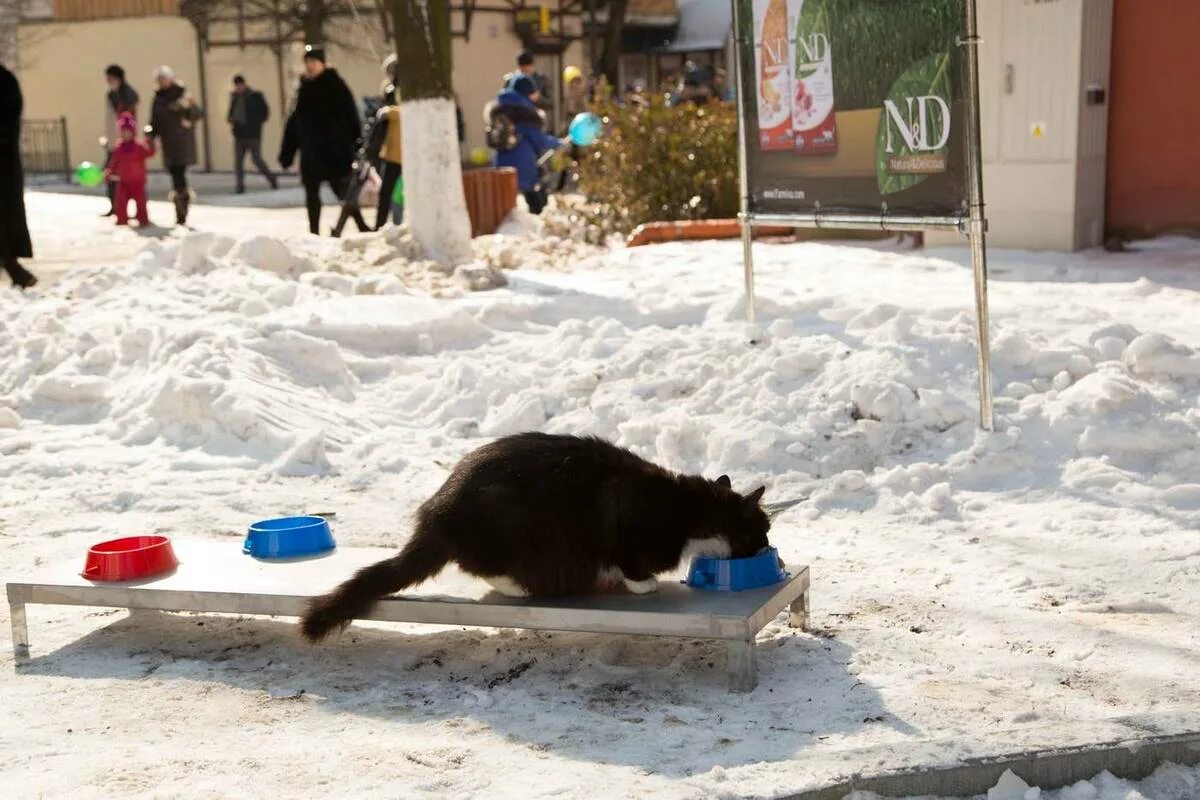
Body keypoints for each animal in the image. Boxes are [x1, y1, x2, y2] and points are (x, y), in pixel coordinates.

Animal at [300, 434, 768, 642]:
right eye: (762, 530)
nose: (766, 547)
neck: (689, 509)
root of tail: (437, 513)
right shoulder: (628, 528)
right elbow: (632, 564)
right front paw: (642, 584)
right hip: (509, 528)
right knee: (482, 568)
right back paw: (521, 587)